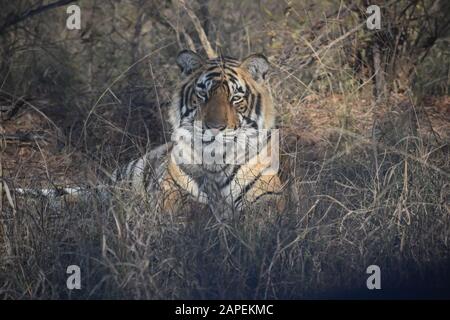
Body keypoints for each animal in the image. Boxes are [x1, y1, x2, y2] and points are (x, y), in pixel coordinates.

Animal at [111, 49, 284, 215]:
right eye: (203, 94)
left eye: (235, 98)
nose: (215, 127)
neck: (216, 161)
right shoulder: (171, 189)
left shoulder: (268, 191)